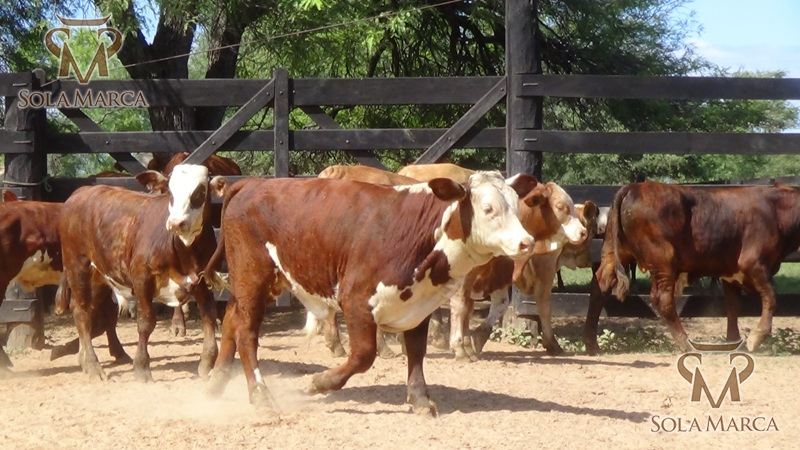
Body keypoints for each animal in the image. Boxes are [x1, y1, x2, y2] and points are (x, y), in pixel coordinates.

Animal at [58, 165, 221, 381]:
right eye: (170, 192)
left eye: (200, 192)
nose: (176, 222)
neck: (184, 250)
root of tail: (81, 192)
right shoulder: (142, 280)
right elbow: (146, 322)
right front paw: (142, 367)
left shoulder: (204, 282)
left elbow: (209, 318)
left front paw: (207, 363)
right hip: (77, 266)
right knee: (82, 313)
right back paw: (93, 366)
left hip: (99, 276)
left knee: (86, 309)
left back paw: (84, 361)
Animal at [204, 172, 537, 415]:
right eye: (489, 209)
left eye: (515, 205)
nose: (527, 242)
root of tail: (252, 183)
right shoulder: (356, 301)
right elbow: (363, 355)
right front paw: (318, 382)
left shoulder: (417, 305)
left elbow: (416, 352)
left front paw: (419, 398)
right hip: (252, 278)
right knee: (247, 333)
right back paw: (261, 396)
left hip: (257, 282)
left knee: (232, 319)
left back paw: (216, 382)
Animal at [447, 183, 594, 360]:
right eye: (560, 206)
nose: (582, 232)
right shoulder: (545, 270)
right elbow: (544, 306)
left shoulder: (498, 274)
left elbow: (499, 304)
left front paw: (476, 340)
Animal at [594, 182, 800, 353]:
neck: (776, 210)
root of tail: (633, 187)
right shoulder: (756, 266)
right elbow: (771, 298)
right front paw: (755, 338)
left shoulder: (730, 273)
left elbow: (733, 307)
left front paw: (734, 342)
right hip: (663, 262)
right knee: (663, 300)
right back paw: (686, 344)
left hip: (613, 253)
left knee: (601, 283)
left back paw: (591, 343)